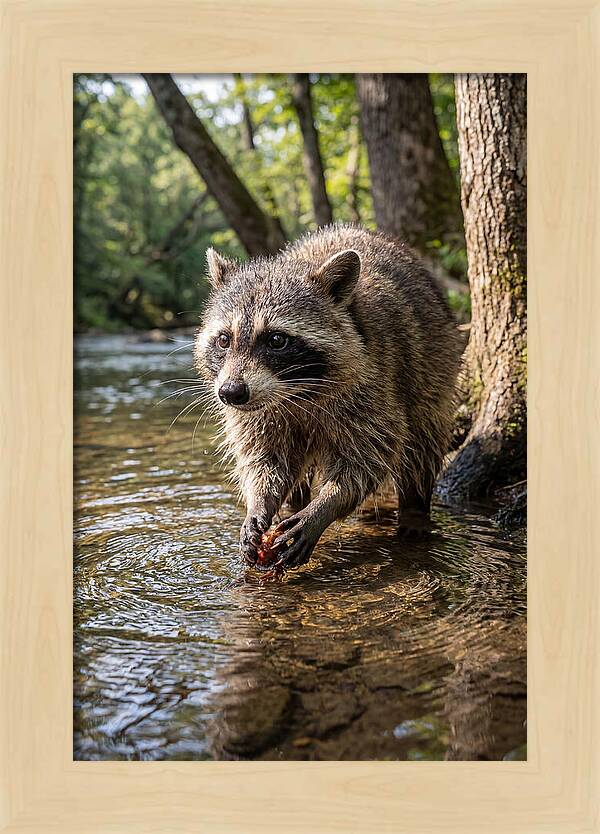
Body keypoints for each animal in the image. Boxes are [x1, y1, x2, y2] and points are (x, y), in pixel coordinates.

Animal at [195, 224, 462, 571]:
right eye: (224, 340)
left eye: (277, 340)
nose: (230, 393)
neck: (295, 391)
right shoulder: (258, 412)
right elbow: (265, 459)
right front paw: (260, 502)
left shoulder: (374, 386)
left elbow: (368, 459)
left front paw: (325, 507)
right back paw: (294, 504)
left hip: (433, 368)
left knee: (422, 446)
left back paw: (414, 511)